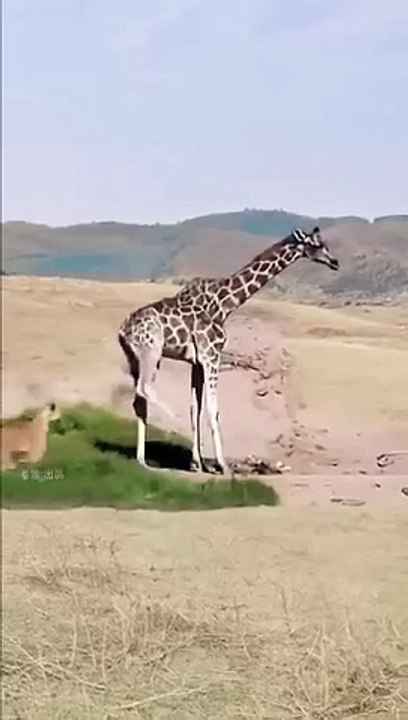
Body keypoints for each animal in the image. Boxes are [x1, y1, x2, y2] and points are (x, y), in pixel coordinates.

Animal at [118, 226, 339, 475]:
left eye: (324, 243)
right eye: (316, 245)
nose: (335, 262)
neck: (226, 304)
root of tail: (123, 330)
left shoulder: (197, 361)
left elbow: (196, 408)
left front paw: (198, 464)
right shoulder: (211, 355)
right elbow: (213, 409)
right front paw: (222, 465)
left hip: (133, 357)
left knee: (138, 400)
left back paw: (142, 459)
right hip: (152, 351)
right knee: (145, 388)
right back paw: (172, 425)